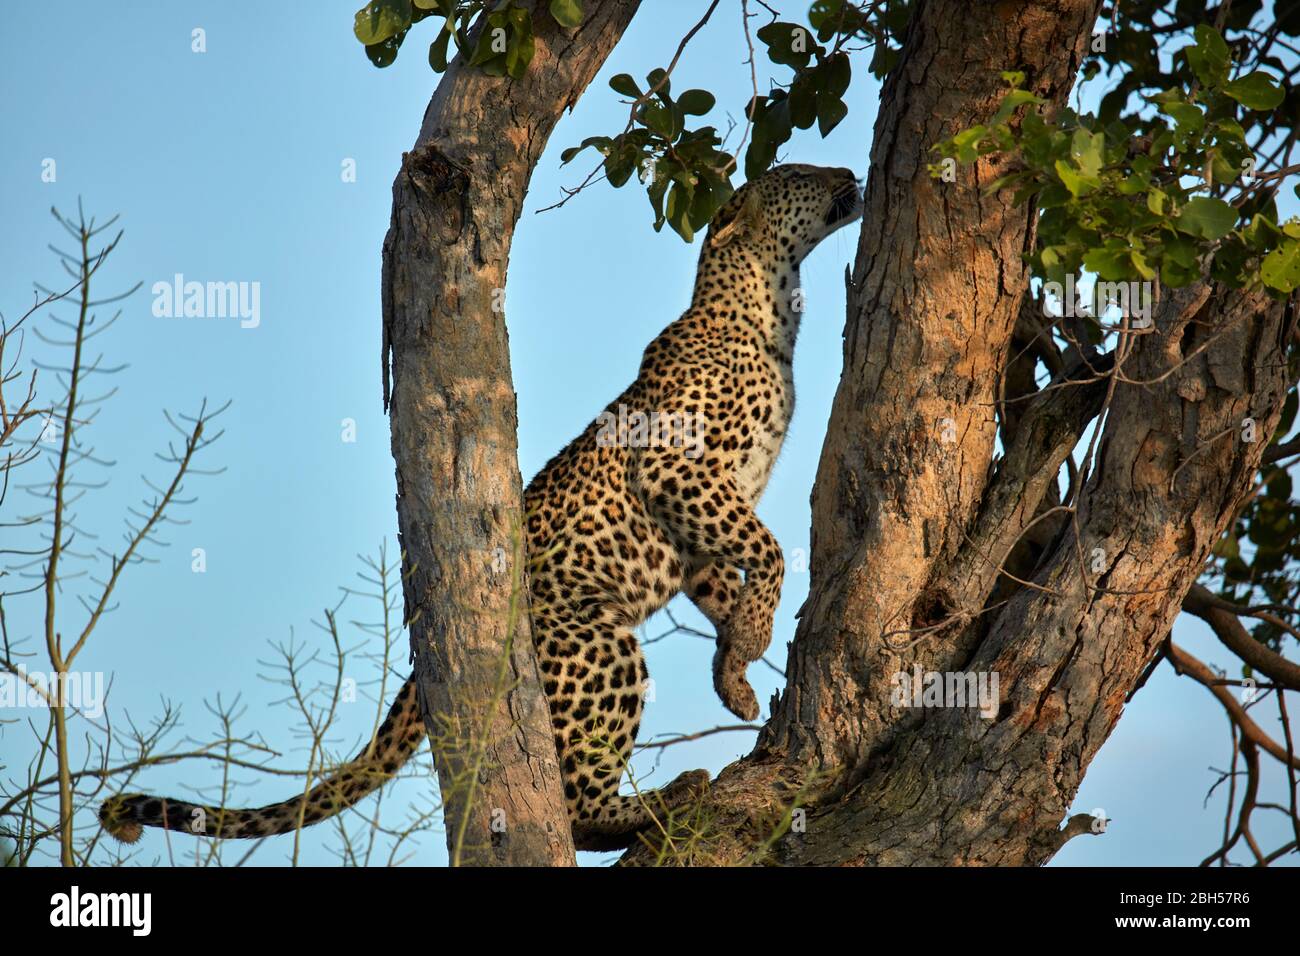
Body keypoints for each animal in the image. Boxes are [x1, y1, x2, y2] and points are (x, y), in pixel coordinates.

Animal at [101, 162, 863, 853]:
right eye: (796, 173)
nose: (849, 173)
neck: (772, 312)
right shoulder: (677, 470)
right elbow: (766, 547)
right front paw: (755, 640)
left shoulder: (699, 527)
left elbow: (727, 578)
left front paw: (735, 674)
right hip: (596, 640)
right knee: (579, 807)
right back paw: (661, 802)